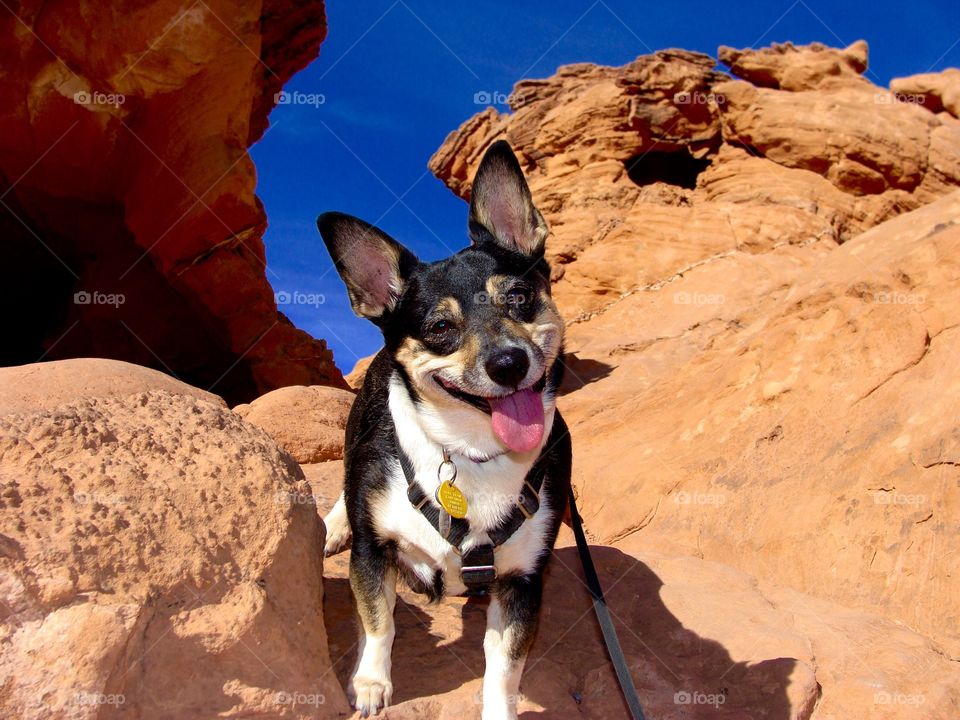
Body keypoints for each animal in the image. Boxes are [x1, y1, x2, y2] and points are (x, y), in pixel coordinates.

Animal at [318, 142, 568, 720]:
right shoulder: (373, 550)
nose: (509, 363)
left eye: (518, 297)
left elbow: (504, 668)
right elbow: (378, 621)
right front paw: (371, 682)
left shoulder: (522, 582)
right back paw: (334, 524)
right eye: (439, 328)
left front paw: (499, 709)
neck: (474, 452)